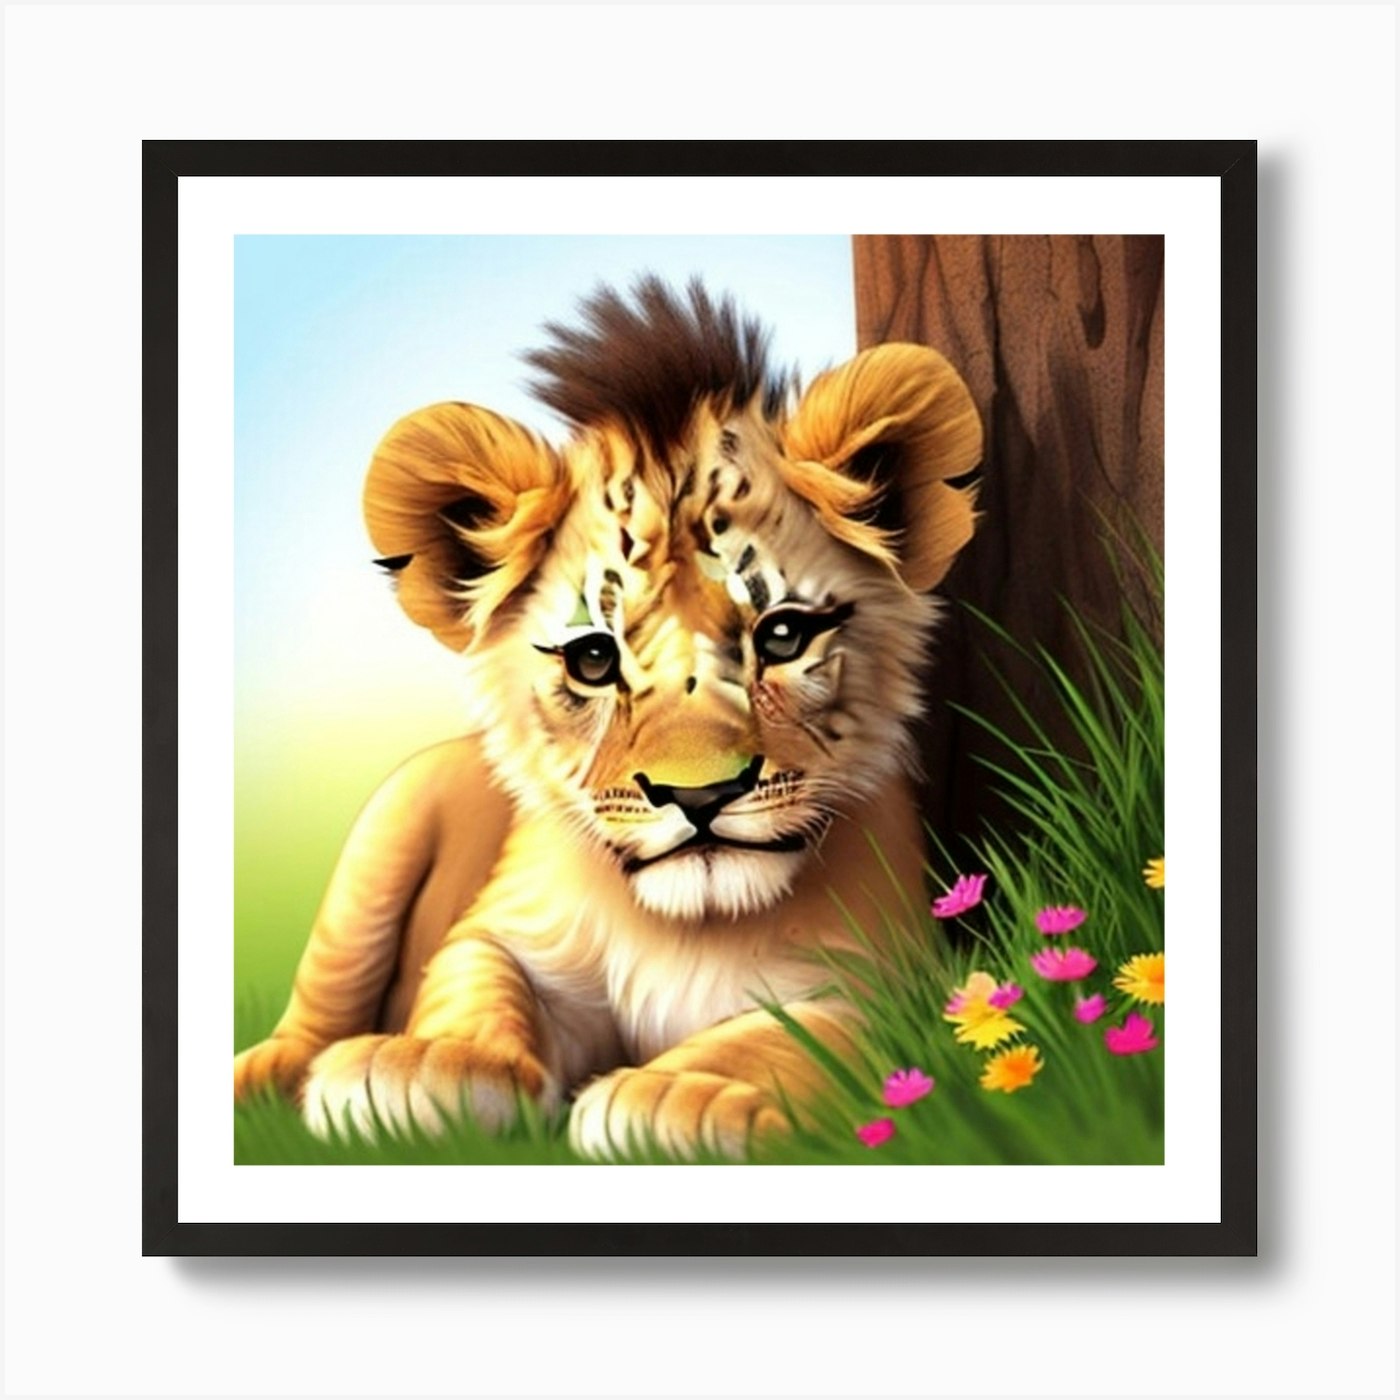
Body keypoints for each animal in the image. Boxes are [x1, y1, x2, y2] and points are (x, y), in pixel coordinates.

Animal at [233, 278, 983, 1159]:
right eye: (593, 658)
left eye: (782, 636)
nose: (699, 797)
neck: (689, 925)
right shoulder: (504, 934)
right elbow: (474, 980)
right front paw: (426, 1062)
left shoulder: (882, 983)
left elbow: (782, 1038)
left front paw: (677, 1093)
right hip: (386, 830)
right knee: (315, 1008)